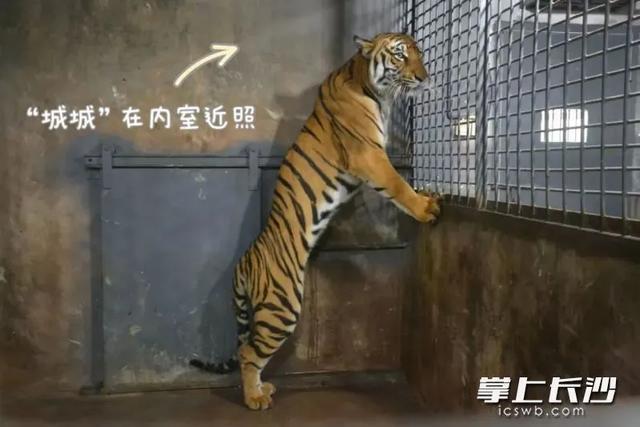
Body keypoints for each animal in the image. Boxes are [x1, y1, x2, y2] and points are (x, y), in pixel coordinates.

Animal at [190, 32, 440, 410]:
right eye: (400, 55)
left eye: (419, 53)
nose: (424, 77)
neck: (370, 85)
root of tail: (242, 263)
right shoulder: (369, 155)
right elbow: (397, 184)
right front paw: (426, 208)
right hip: (282, 308)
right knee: (249, 353)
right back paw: (255, 398)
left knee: (247, 348)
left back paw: (262, 389)